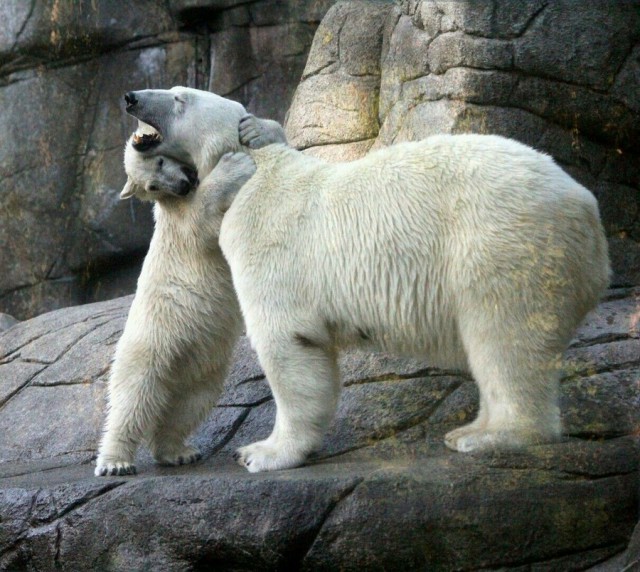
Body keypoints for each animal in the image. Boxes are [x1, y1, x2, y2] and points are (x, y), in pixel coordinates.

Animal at [95, 131, 255, 478]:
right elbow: (201, 221)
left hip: (198, 362)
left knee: (190, 403)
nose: (183, 183)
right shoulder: (179, 219)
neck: (176, 197)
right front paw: (234, 164)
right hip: (151, 342)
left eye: (160, 162)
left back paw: (178, 452)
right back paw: (115, 462)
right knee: (132, 398)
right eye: (153, 186)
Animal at [219, 114, 608, 472]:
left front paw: (259, 453)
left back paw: (493, 436)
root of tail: (587, 207)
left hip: (505, 241)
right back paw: (468, 430)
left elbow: (287, 342)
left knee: (505, 336)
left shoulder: (273, 243)